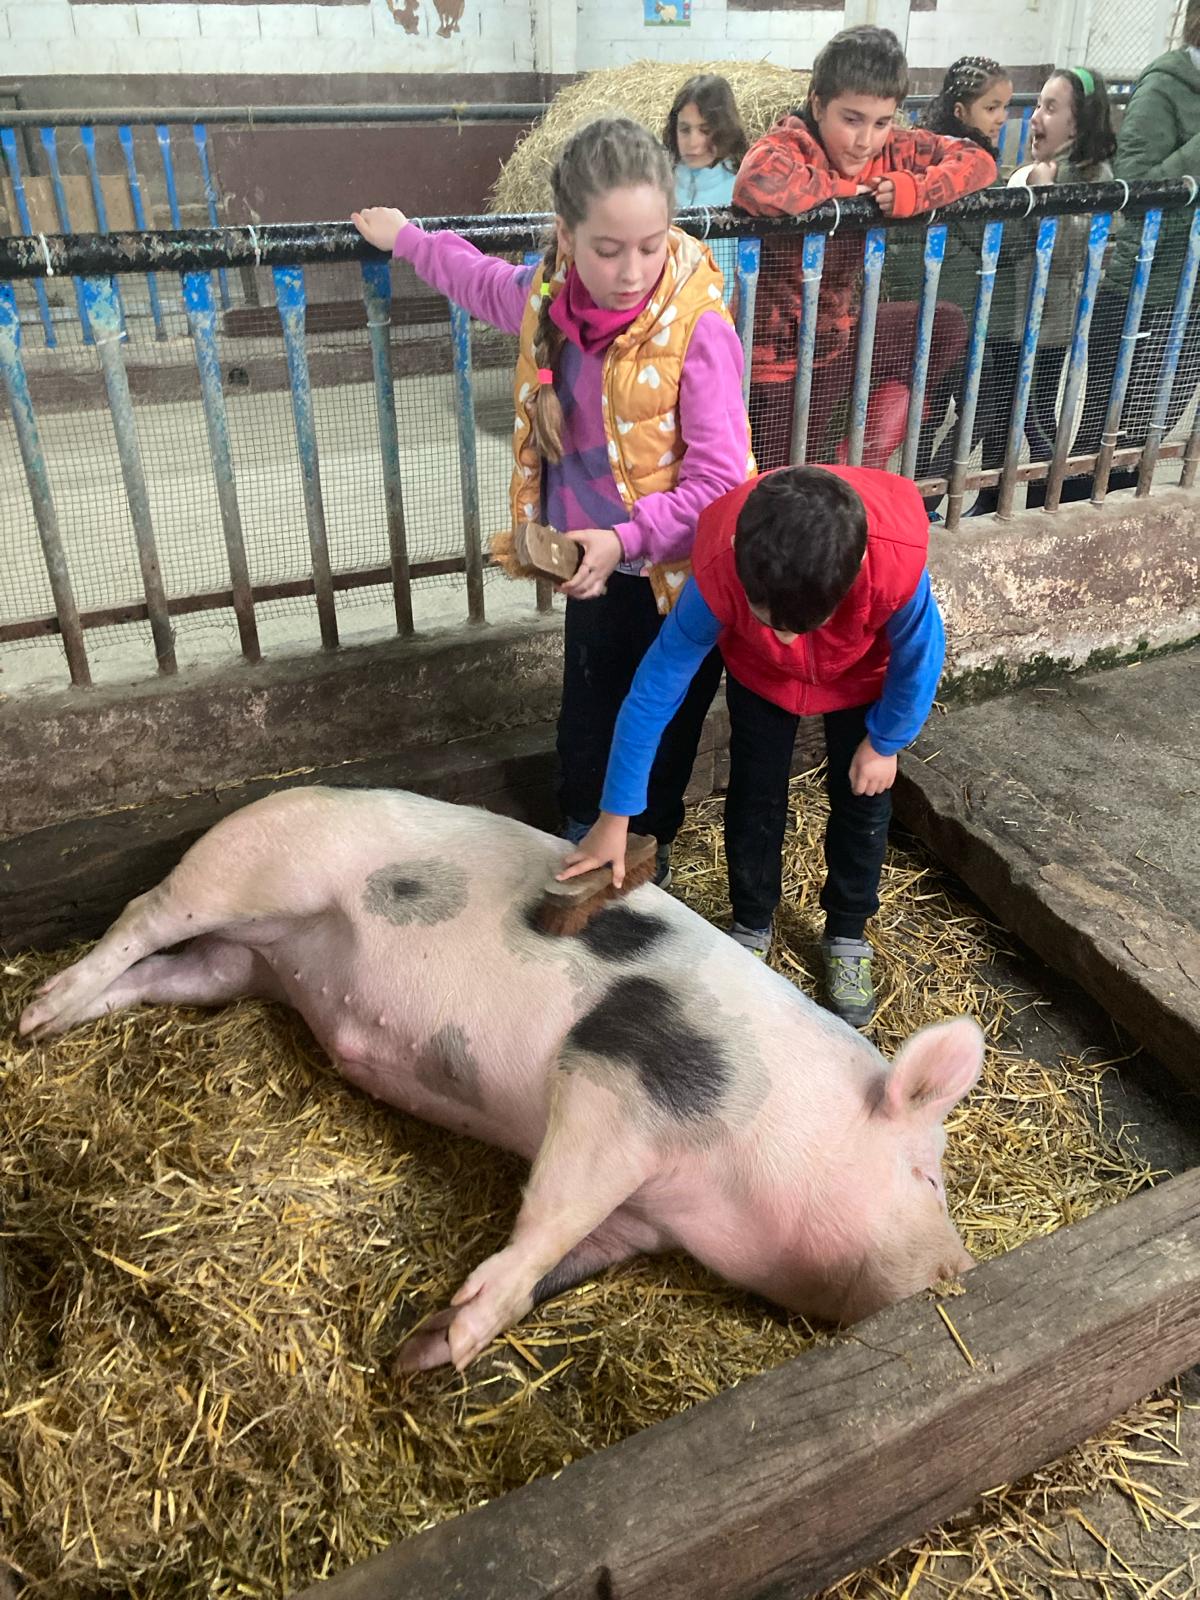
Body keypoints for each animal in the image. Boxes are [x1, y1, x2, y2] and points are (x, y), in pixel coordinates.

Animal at [19, 786, 983, 1372]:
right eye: (927, 1176)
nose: (961, 1268)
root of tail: (279, 793)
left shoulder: (637, 1220)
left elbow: (566, 1254)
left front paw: (422, 1350)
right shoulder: (617, 1077)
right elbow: (552, 1212)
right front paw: (459, 1340)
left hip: (239, 968)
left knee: (173, 973)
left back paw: (63, 1016)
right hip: (249, 873)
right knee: (143, 915)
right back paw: (36, 1014)